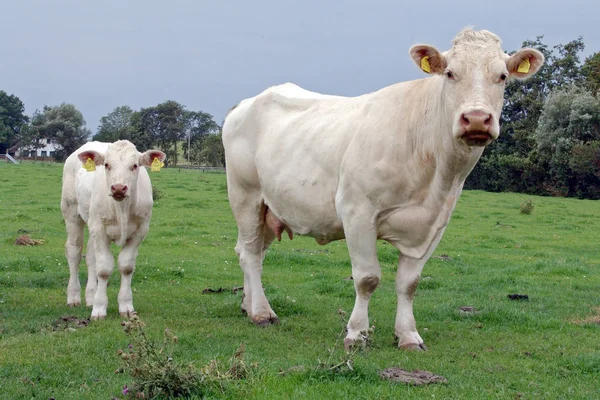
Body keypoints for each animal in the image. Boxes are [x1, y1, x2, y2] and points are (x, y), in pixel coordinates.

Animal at [60, 141, 165, 318]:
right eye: (107, 165)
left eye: (135, 165)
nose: (118, 188)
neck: (121, 209)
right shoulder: (99, 229)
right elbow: (104, 269)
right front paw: (99, 308)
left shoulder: (140, 231)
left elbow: (126, 266)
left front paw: (126, 306)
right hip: (72, 212)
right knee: (74, 252)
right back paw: (73, 297)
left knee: (90, 257)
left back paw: (90, 296)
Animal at [224, 28, 544, 348]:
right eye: (450, 73)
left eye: (502, 76)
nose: (476, 119)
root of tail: (244, 104)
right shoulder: (357, 212)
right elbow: (367, 278)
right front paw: (356, 333)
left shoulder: (435, 224)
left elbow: (409, 283)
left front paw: (408, 335)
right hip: (245, 196)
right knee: (251, 254)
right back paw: (262, 313)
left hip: (271, 207)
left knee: (251, 251)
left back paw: (247, 305)